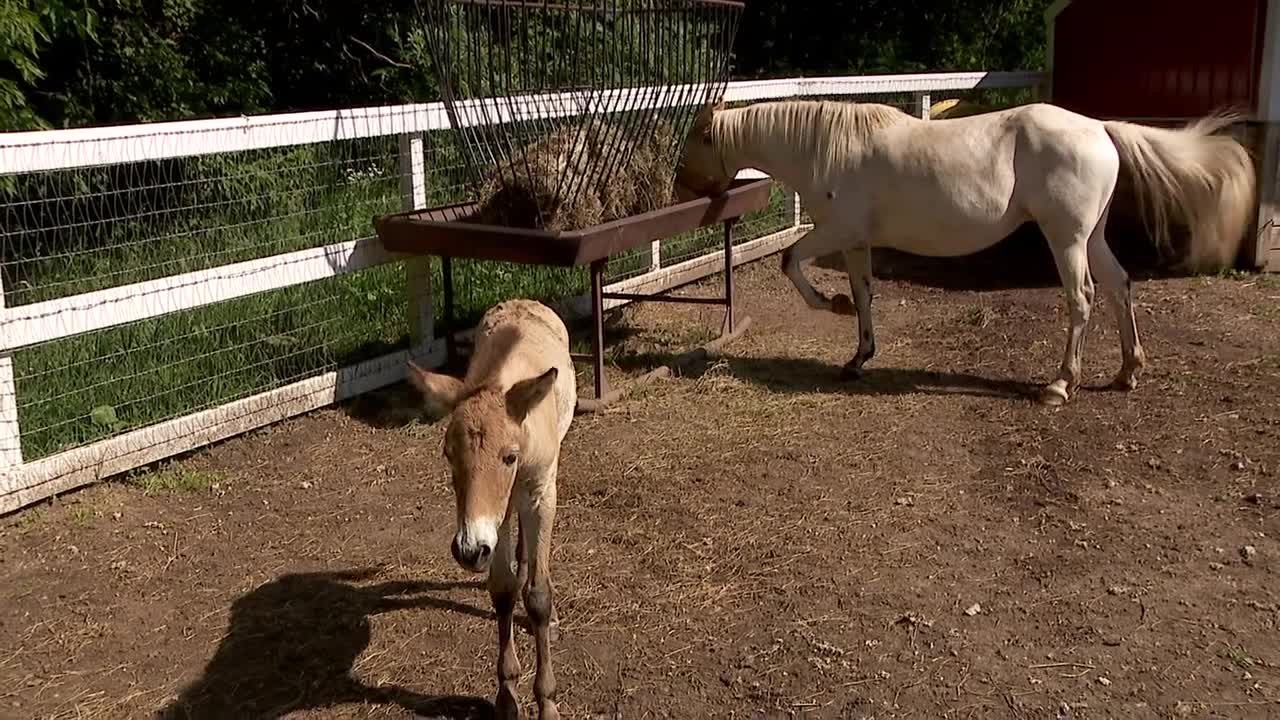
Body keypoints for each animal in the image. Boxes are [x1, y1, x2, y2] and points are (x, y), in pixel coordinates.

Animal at [406, 299, 576, 720]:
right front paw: (507, 696)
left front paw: (547, 701)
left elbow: (539, 597)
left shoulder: (541, 493)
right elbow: (502, 590)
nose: (469, 551)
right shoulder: (492, 517)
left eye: (509, 456)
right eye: (448, 454)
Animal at [674, 98, 1256, 405]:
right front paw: (858, 357)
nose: (678, 188)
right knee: (1119, 286)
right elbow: (864, 296)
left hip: (1066, 238)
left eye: (697, 139)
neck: (828, 149)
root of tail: (1099, 129)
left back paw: (1060, 384)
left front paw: (831, 307)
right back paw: (1127, 372)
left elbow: (791, 262)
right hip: (1091, 237)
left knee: (1083, 298)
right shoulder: (857, 241)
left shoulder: (835, 232)